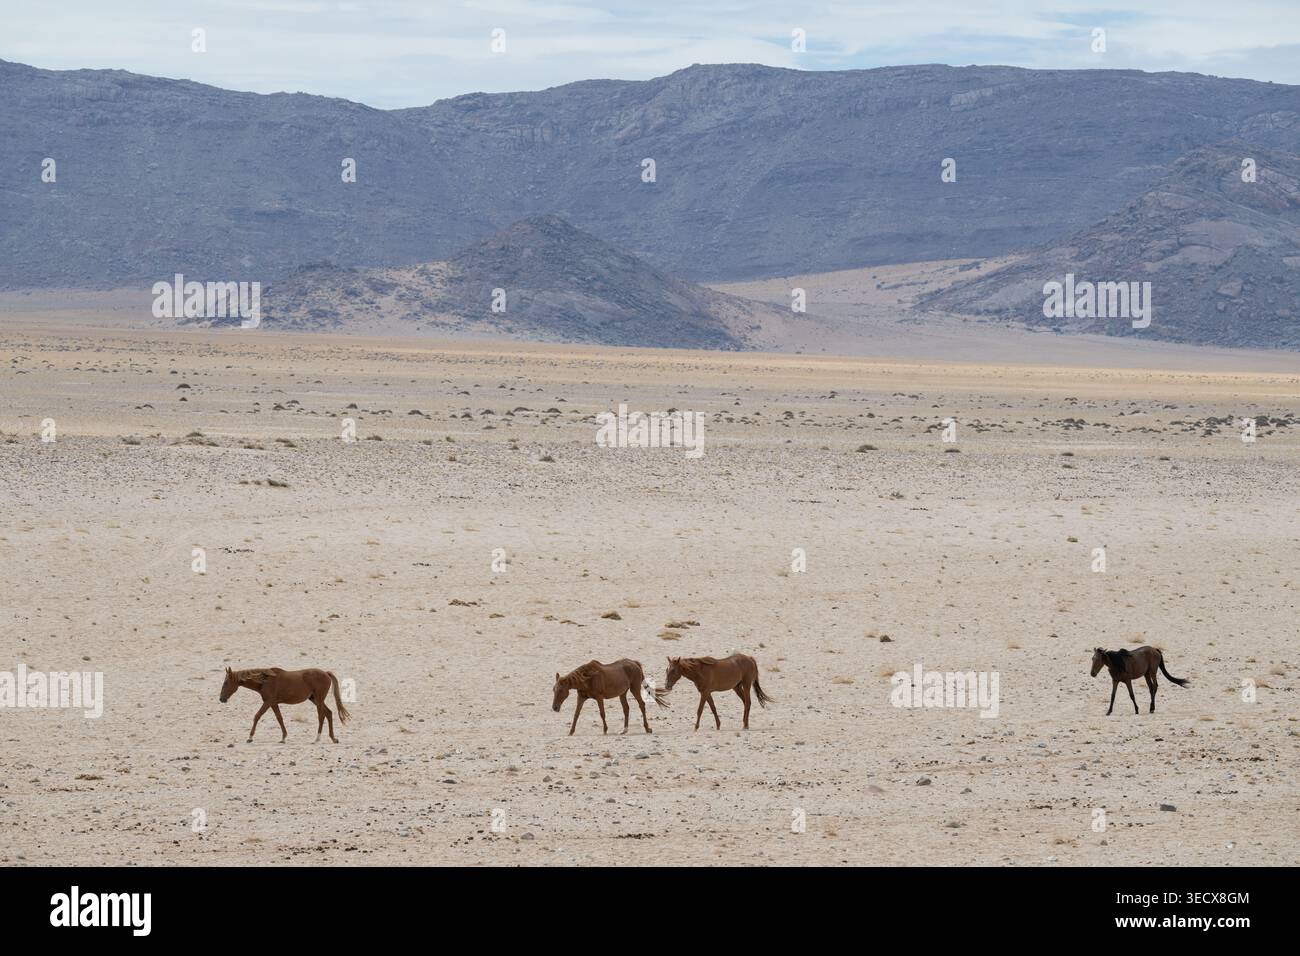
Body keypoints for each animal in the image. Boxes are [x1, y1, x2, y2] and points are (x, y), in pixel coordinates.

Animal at [220, 666, 351, 742]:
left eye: (226, 683)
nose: (221, 699)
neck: (265, 681)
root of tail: (326, 673)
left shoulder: (268, 702)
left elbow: (257, 716)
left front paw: (250, 737)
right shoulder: (273, 703)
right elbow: (279, 718)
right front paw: (283, 737)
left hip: (318, 700)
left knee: (322, 715)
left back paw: (317, 738)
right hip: (315, 699)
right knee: (328, 713)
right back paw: (333, 738)